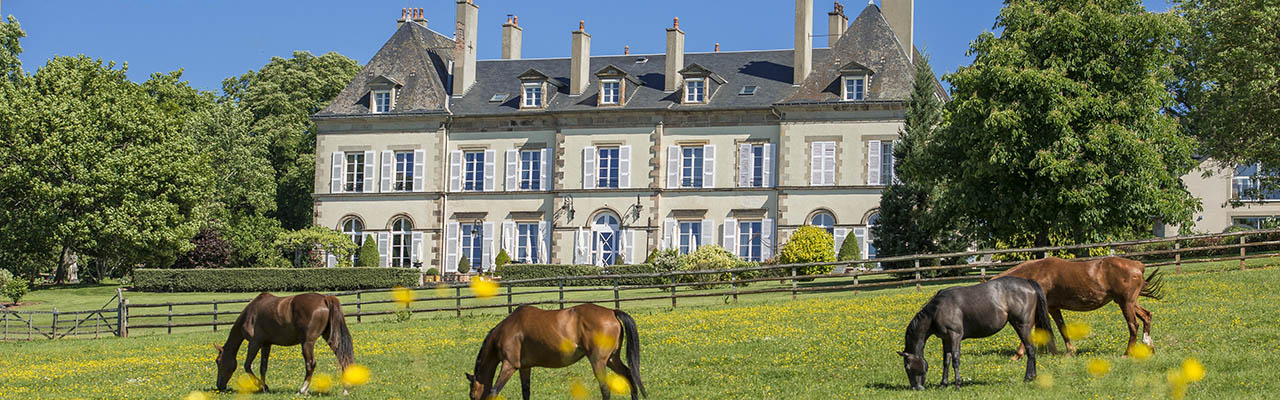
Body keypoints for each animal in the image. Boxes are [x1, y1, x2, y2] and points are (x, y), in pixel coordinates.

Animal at [213, 291, 355, 394]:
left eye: (218, 361)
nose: (219, 386)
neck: (250, 313)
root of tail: (325, 299)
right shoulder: (266, 344)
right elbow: (263, 367)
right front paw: (264, 387)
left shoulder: (254, 343)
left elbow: (247, 366)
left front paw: (261, 386)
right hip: (330, 339)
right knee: (342, 358)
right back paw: (346, 389)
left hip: (307, 343)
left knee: (310, 364)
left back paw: (302, 390)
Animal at [468, 302, 650, 400]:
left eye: (471, 395)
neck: (507, 330)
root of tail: (612, 312)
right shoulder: (525, 368)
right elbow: (526, 392)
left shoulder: (509, 365)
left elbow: (493, 391)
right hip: (612, 359)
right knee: (629, 375)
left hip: (598, 361)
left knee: (605, 388)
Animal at [896, 276, 1054, 389]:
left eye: (907, 367)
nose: (916, 388)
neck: (937, 310)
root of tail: (1028, 283)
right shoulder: (946, 339)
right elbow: (946, 361)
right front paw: (943, 384)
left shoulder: (955, 336)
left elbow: (955, 359)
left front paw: (957, 384)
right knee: (1031, 349)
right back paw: (1033, 377)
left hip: (1022, 325)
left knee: (1030, 349)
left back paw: (1027, 377)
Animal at [993, 257, 1167, 358]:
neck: (1037, 273)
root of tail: (1137, 265)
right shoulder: (1053, 308)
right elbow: (1061, 328)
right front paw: (1066, 351)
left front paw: (1018, 355)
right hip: (1128, 303)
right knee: (1147, 316)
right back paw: (1149, 345)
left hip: (1126, 303)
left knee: (1133, 325)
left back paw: (1127, 353)